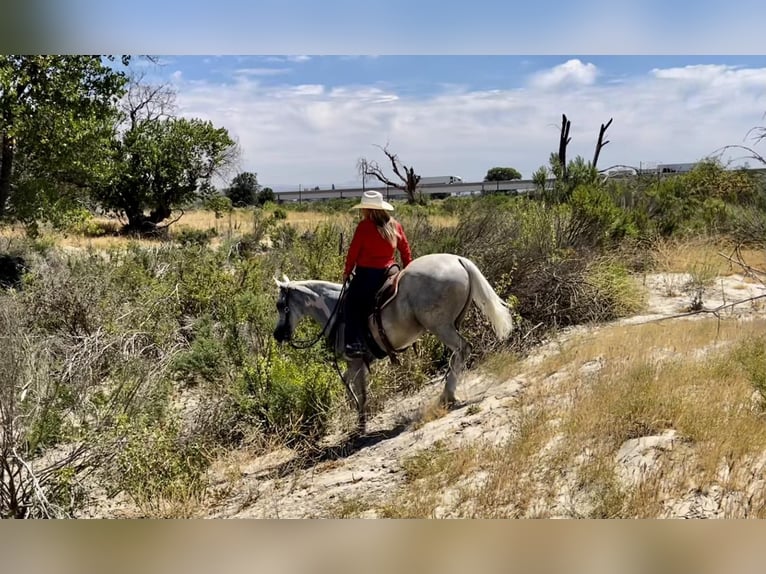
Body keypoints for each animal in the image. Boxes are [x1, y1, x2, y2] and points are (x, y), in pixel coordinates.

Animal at [272, 254, 520, 434]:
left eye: (280, 305)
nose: (277, 334)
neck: (336, 310)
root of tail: (458, 260)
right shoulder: (360, 362)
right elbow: (351, 386)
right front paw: (357, 415)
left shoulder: (355, 361)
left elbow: (358, 391)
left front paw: (360, 425)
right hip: (452, 323)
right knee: (457, 355)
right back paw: (448, 394)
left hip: (440, 326)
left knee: (462, 349)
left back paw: (447, 396)